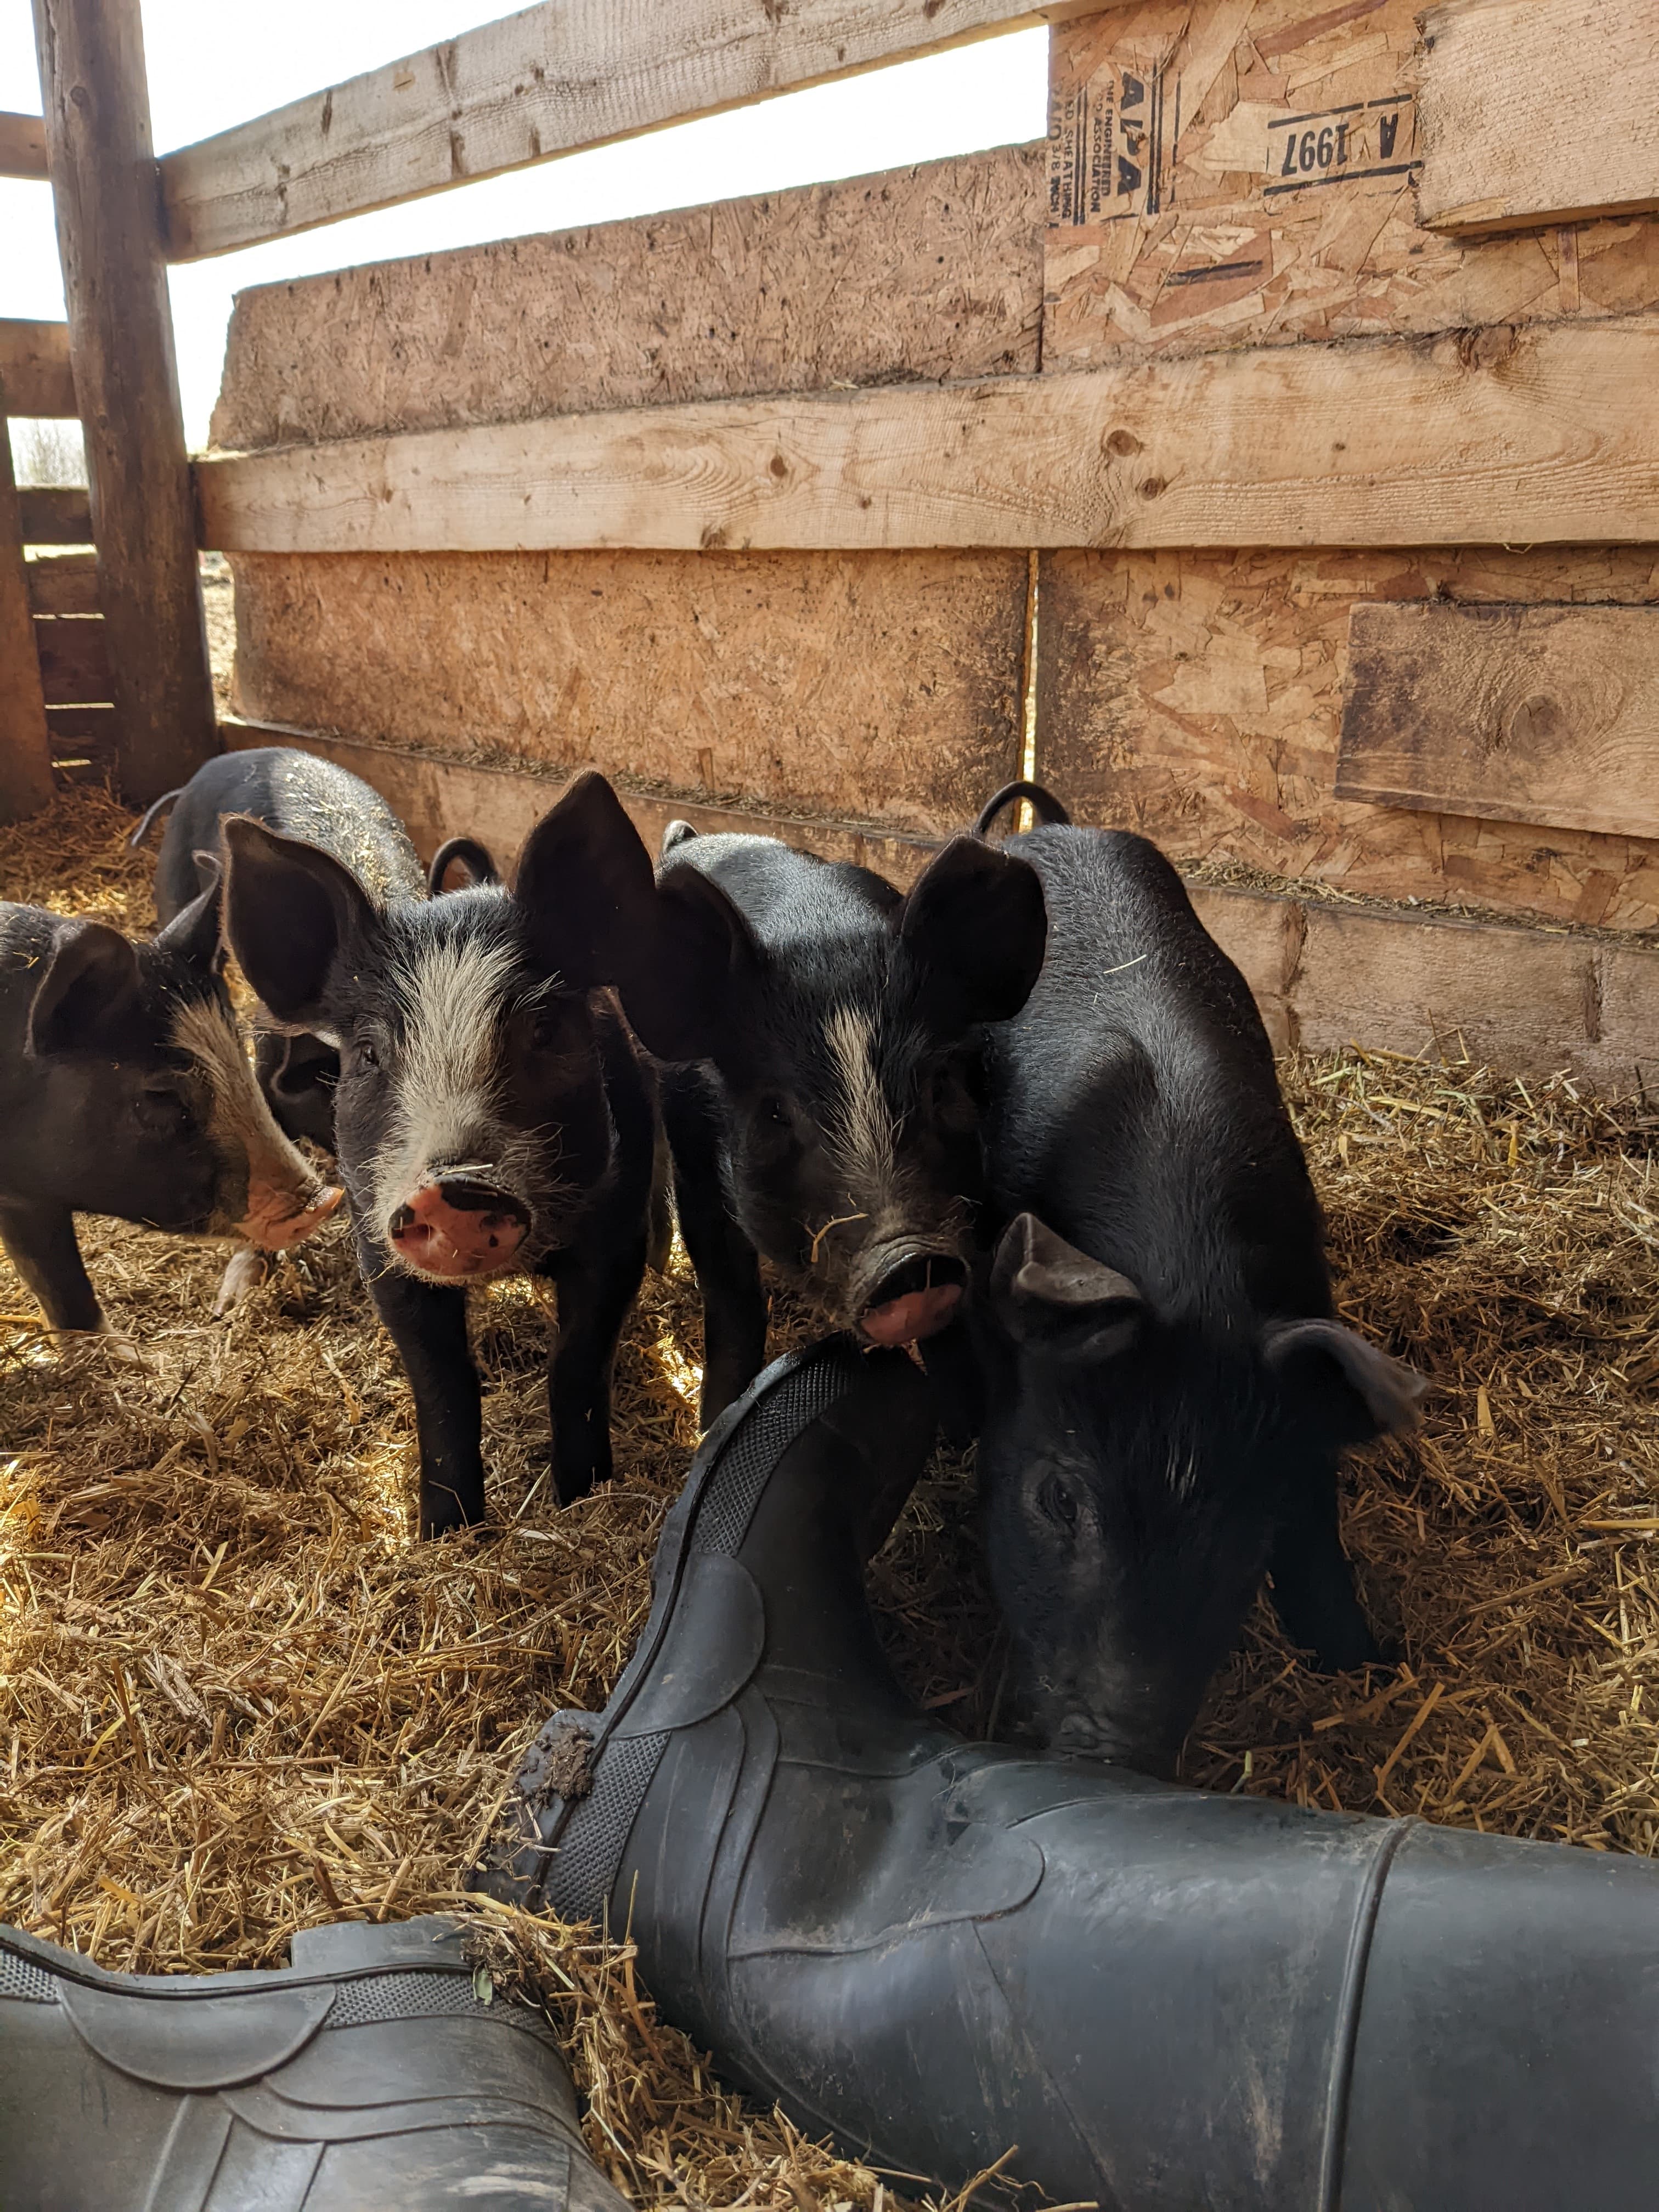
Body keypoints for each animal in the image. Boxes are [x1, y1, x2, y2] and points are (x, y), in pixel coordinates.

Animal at [220, 771, 662, 1536]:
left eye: (545, 1032)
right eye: (369, 1054)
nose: (458, 1189)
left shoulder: (618, 1232)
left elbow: (575, 1367)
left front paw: (584, 1499)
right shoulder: (378, 1241)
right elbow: (443, 1383)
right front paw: (446, 1533)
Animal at [621, 823, 1048, 1427]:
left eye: (939, 1085)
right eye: (776, 1112)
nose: (908, 1259)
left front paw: (965, 1421)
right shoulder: (699, 1172)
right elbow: (734, 1307)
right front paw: (716, 1425)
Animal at [969, 783, 1427, 1774]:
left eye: (1242, 1532)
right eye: (1057, 1496)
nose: (1114, 1748)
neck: (1185, 1270)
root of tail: (1055, 828)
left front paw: (1366, 1665)